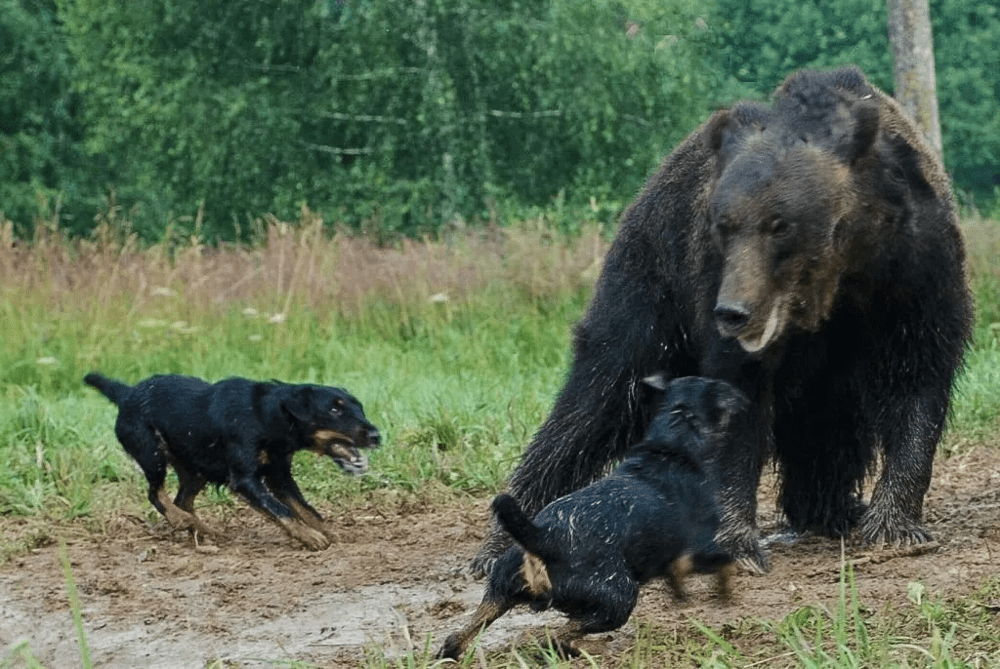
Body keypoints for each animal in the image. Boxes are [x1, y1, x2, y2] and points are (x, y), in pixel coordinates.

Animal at [84, 370, 380, 548]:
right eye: (334, 410)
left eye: (359, 408)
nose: (376, 435)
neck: (265, 415)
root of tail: (126, 393)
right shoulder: (245, 480)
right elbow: (281, 510)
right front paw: (311, 537)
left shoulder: (279, 475)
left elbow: (306, 508)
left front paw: (328, 532)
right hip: (152, 453)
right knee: (156, 494)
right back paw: (182, 521)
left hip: (195, 470)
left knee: (181, 500)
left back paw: (203, 530)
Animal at [442, 376, 748, 656]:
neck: (672, 444)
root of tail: (543, 539)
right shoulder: (704, 542)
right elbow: (725, 562)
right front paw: (725, 595)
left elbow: (677, 572)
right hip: (618, 598)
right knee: (553, 635)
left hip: (500, 586)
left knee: (462, 633)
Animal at [472, 66, 972, 576]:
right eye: (724, 224)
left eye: (780, 224)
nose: (734, 311)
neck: (838, 280)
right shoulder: (715, 279)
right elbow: (737, 398)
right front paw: (735, 542)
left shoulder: (913, 276)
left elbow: (917, 378)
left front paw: (892, 524)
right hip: (651, 285)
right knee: (597, 396)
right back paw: (505, 540)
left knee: (834, 423)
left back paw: (832, 507)